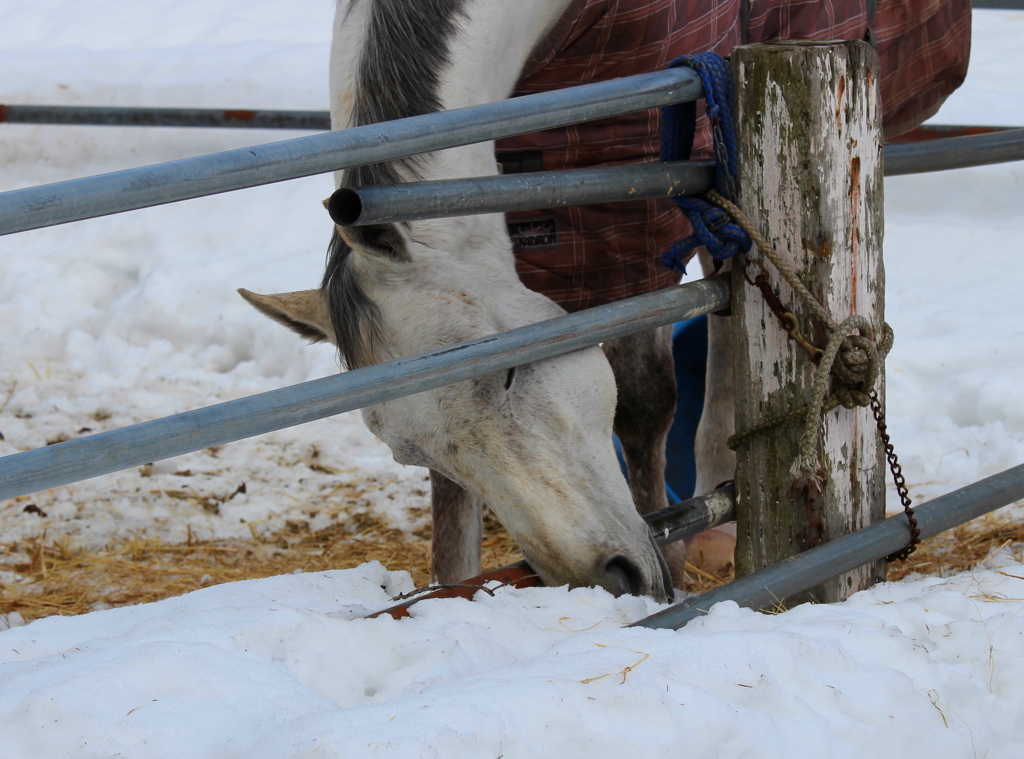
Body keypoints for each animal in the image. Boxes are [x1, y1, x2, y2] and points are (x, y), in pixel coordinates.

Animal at [239, 1, 737, 602]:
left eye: (508, 372)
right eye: (412, 453)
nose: (608, 580)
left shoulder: (637, 202)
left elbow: (645, 402)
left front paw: (678, 564)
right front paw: (453, 585)